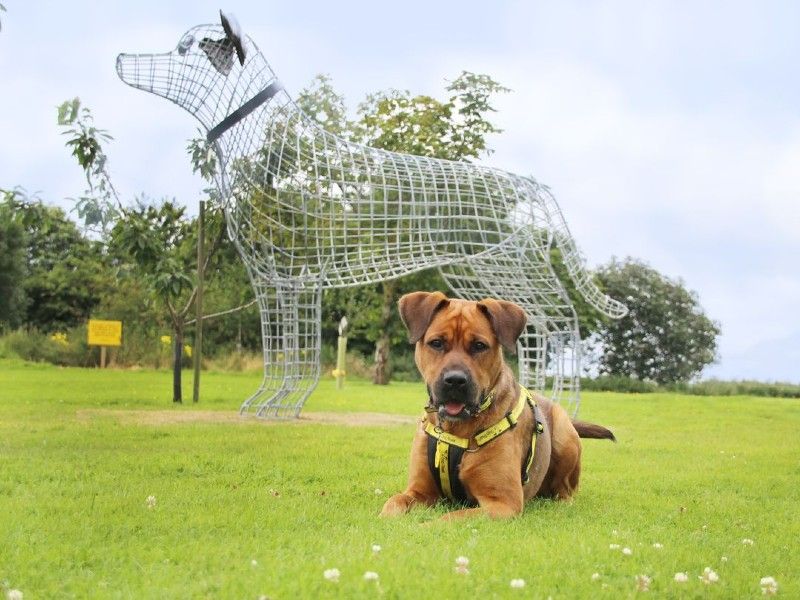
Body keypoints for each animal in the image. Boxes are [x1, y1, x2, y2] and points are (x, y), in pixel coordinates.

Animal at [380, 292, 612, 520]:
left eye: (479, 345)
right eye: (436, 343)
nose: (455, 380)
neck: (457, 429)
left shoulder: (503, 503)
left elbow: (449, 518)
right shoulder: (418, 491)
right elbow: (393, 503)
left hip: (565, 437)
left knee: (565, 490)